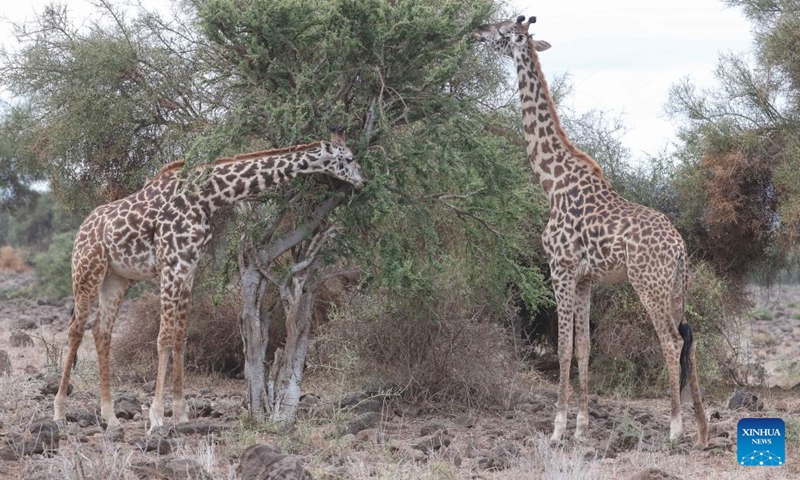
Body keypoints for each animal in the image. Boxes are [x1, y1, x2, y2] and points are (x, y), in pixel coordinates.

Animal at [53, 127, 366, 432]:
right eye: (349, 158)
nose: (363, 181)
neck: (205, 197)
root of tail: (82, 229)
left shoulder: (188, 270)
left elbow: (180, 337)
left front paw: (181, 415)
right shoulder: (172, 266)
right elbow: (164, 337)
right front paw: (156, 416)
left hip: (116, 279)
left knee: (101, 331)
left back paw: (111, 417)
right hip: (87, 271)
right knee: (76, 329)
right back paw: (60, 411)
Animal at [475, 16, 708, 446]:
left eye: (501, 29)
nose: (477, 29)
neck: (551, 182)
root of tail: (680, 246)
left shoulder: (561, 269)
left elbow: (563, 348)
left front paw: (557, 429)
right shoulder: (586, 280)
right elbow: (583, 347)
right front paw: (582, 427)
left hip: (648, 284)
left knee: (671, 341)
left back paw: (674, 428)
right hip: (675, 288)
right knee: (690, 341)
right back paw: (702, 430)